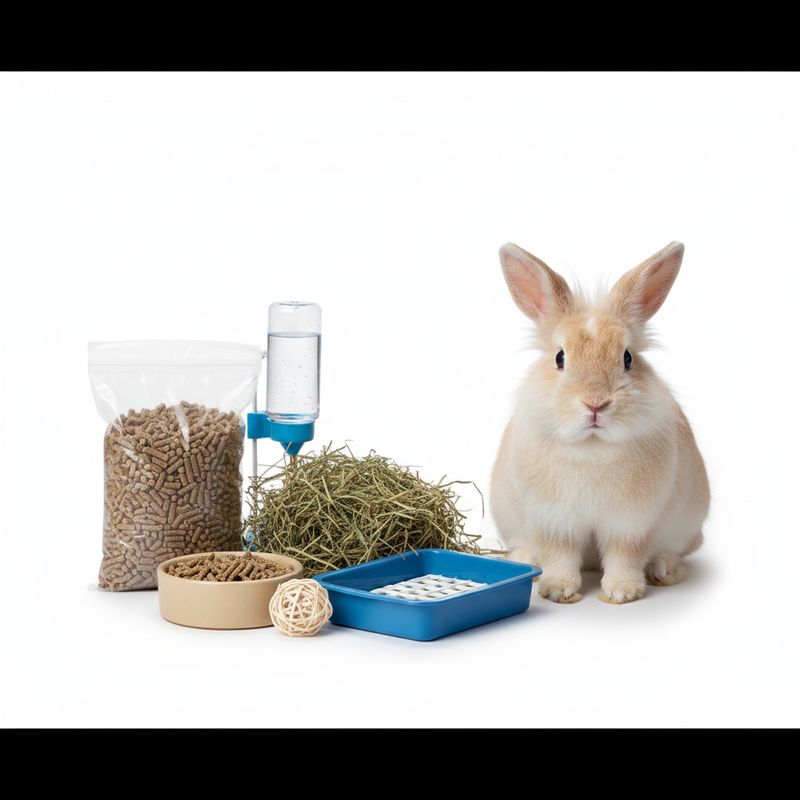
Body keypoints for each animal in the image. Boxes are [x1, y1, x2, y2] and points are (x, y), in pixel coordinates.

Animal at [490, 241, 709, 604]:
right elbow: (560, 555)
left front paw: (622, 592)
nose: (596, 403)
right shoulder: (554, 521)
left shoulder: (631, 523)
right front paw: (558, 590)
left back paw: (663, 570)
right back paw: (526, 561)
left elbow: (626, 555)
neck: (592, 446)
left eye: (627, 358)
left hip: (688, 526)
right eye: (560, 357)